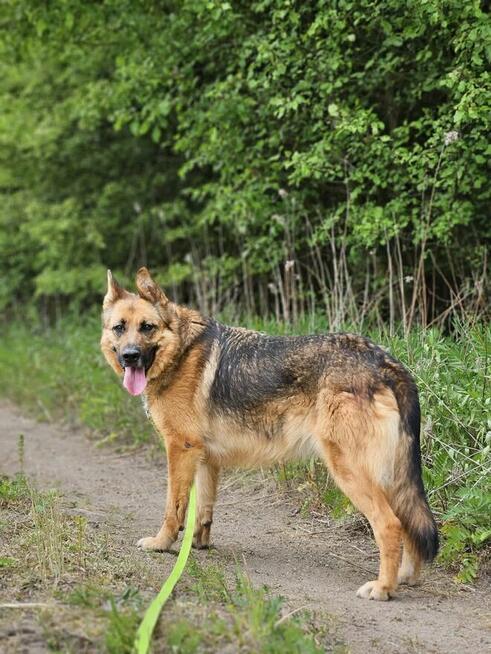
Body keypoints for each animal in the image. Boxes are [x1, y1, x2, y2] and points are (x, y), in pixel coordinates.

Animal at [99, 268, 438, 604]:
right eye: (119, 328)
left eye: (147, 327)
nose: (129, 356)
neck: (181, 351)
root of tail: (384, 360)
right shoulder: (206, 459)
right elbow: (203, 512)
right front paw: (197, 545)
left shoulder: (180, 450)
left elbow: (174, 509)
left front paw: (161, 544)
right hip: (389, 479)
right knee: (408, 526)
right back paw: (403, 578)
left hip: (350, 472)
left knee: (390, 525)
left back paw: (383, 588)